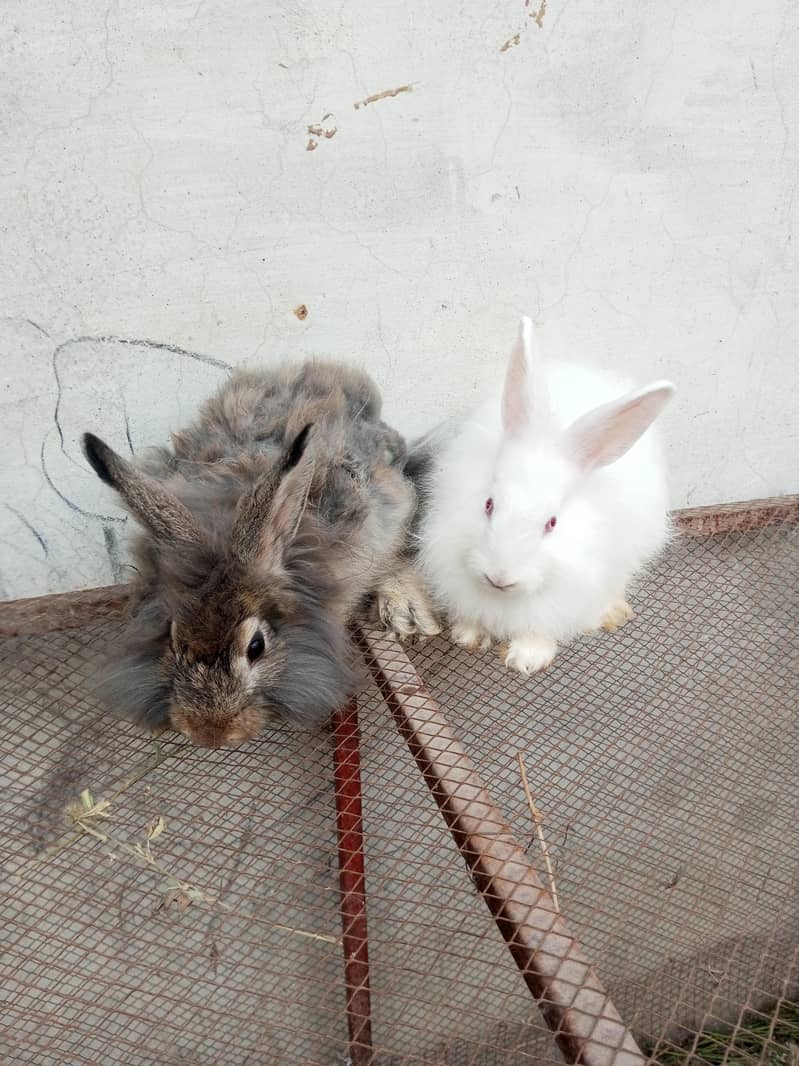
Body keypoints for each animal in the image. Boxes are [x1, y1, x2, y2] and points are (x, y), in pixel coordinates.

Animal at [412, 317, 675, 675]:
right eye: (488, 504)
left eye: (552, 523)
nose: (499, 577)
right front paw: (468, 636)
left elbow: (540, 630)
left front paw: (526, 659)